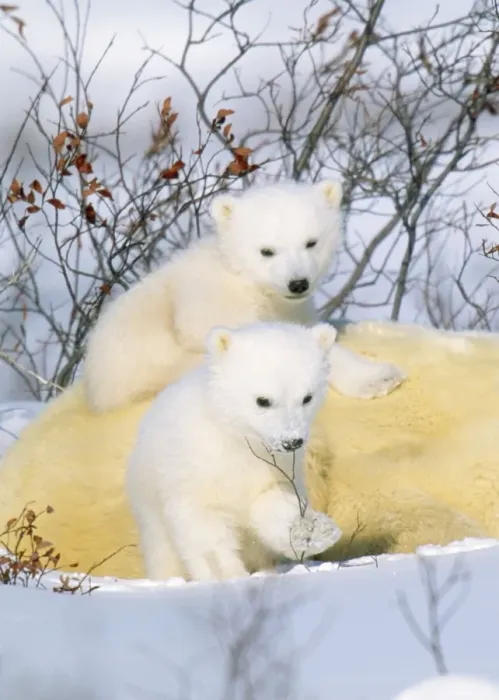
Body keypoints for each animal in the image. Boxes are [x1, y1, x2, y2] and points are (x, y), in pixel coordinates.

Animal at [82, 179, 406, 414]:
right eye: (267, 250)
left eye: (311, 242)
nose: (298, 284)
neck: (246, 281)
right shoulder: (211, 306)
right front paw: (377, 380)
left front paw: (381, 376)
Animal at [126, 321, 342, 582]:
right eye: (263, 400)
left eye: (307, 397)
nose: (292, 441)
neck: (236, 439)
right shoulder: (195, 470)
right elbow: (204, 526)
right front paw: (228, 574)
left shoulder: (273, 468)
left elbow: (272, 502)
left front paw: (312, 530)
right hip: (150, 510)